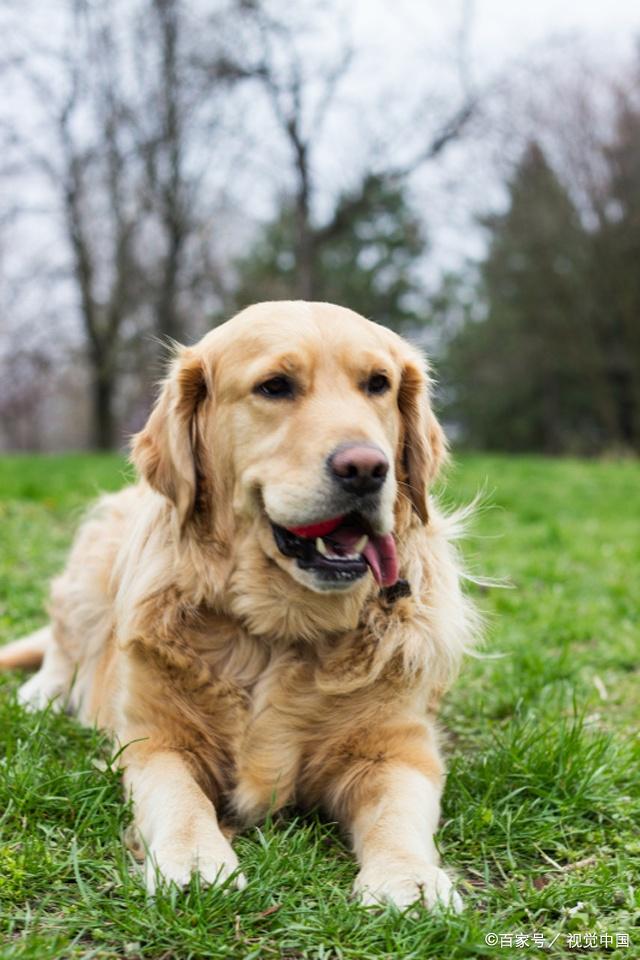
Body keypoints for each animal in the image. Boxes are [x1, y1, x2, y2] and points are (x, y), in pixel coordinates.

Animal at [0, 300, 478, 908]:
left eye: (378, 384)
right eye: (275, 386)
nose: (367, 469)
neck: (278, 631)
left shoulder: (397, 749)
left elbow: (398, 811)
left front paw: (410, 879)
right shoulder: (156, 741)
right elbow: (179, 798)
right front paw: (196, 861)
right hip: (90, 571)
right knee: (62, 648)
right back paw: (38, 696)